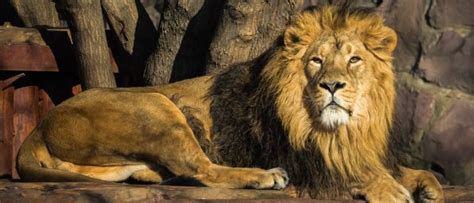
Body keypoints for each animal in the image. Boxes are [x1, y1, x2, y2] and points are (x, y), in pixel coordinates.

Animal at [15, 4, 444, 201]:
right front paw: (391, 189)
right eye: (316, 61)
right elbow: (351, 172)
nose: (332, 85)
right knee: (202, 168)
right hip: (157, 106)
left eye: (354, 59)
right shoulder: (302, 157)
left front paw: (428, 185)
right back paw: (264, 176)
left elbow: (404, 168)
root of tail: (39, 126)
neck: (343, 130)